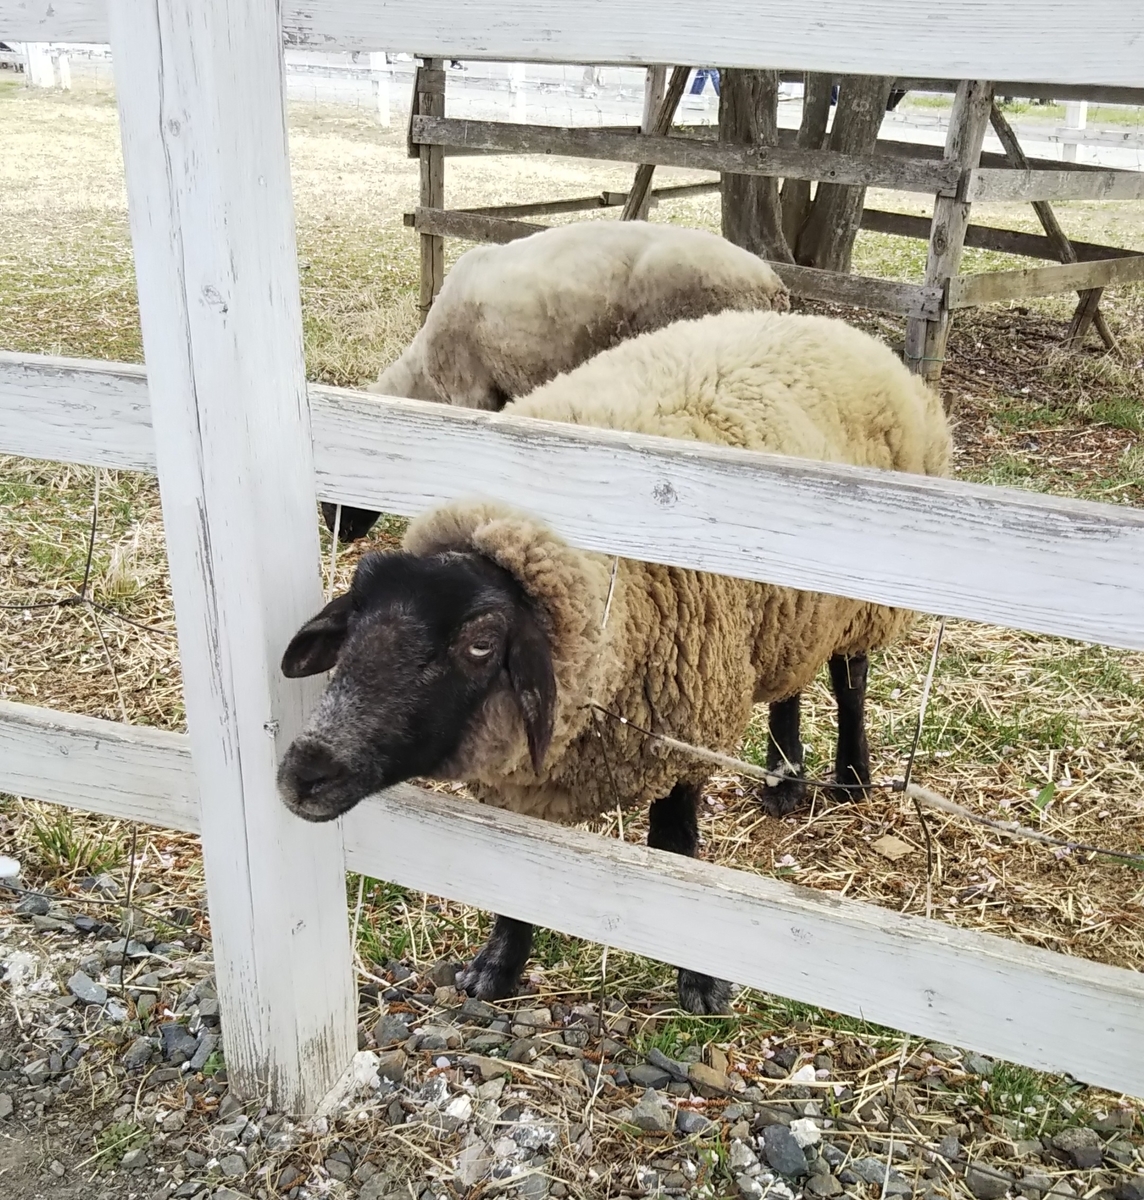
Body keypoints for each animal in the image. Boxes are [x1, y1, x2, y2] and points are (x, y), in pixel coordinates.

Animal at [280, 304, 950, 1008]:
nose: (304, 773)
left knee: (850, 679)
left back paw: (850, 778)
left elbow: (674, 852)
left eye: (481, 643)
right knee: (790, 681)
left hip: (861, 601)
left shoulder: (683, 729)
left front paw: (698, 982)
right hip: (788, 611)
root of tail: (825, 324)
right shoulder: (527, 774)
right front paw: (496, 967)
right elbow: (511, 874)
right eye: (354, 619)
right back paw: (783, 779)